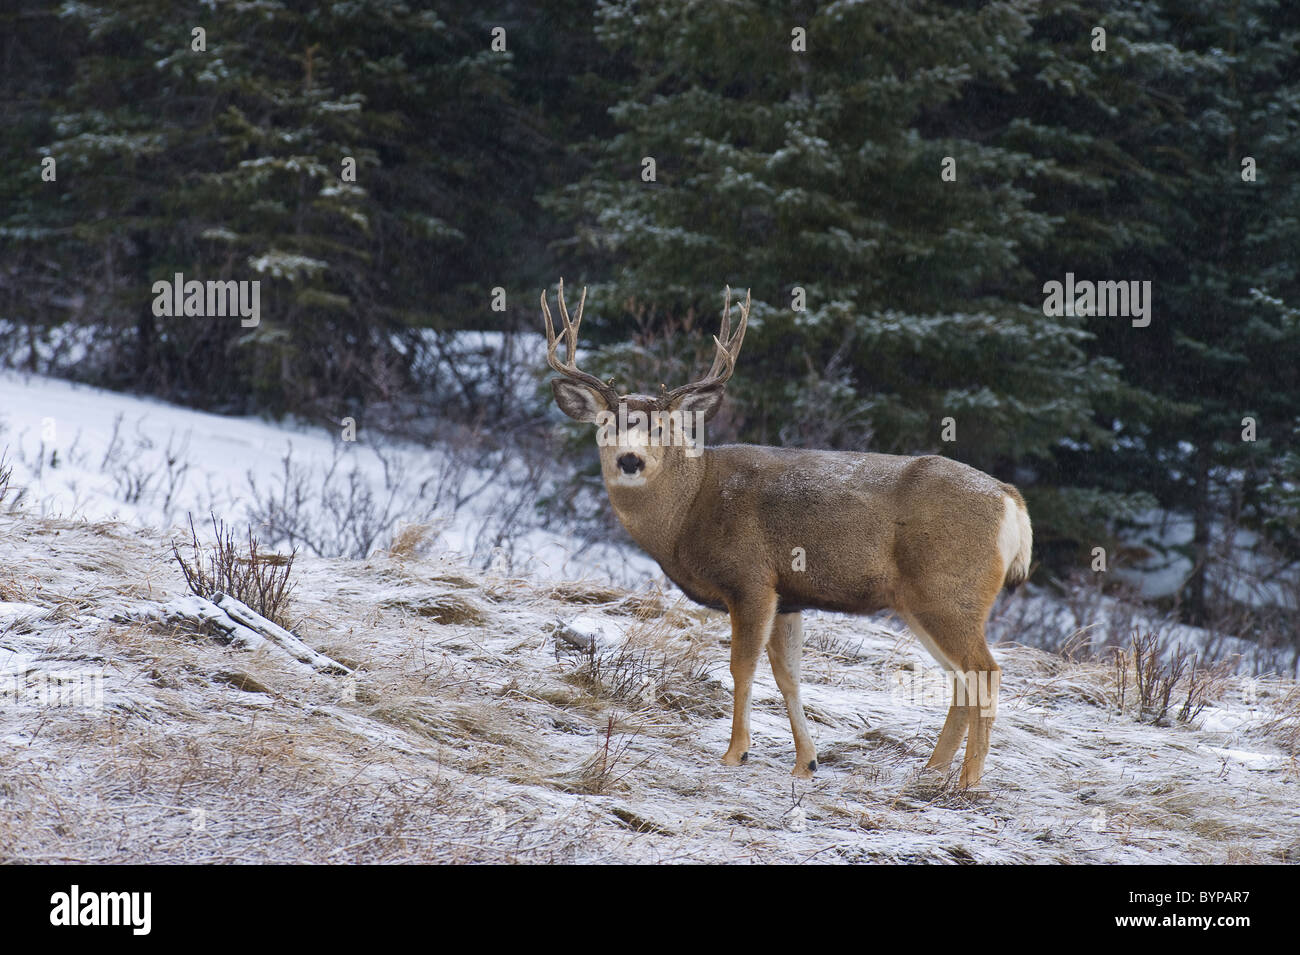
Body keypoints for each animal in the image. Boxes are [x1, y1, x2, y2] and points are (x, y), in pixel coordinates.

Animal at [541, 279, 1032, 787]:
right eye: (605, 423)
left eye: (663, 426)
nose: (630, 460)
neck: (689, 509)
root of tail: (1011, 500)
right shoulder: (788, 596)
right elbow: (788, 676)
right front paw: (806, 762)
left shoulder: (751, 578)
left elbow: (742, 667)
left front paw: (736, 752)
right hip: (920, 601)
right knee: (961, 680)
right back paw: (931, 771)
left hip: (950, 588)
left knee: (985, 672)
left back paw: (968, 783)